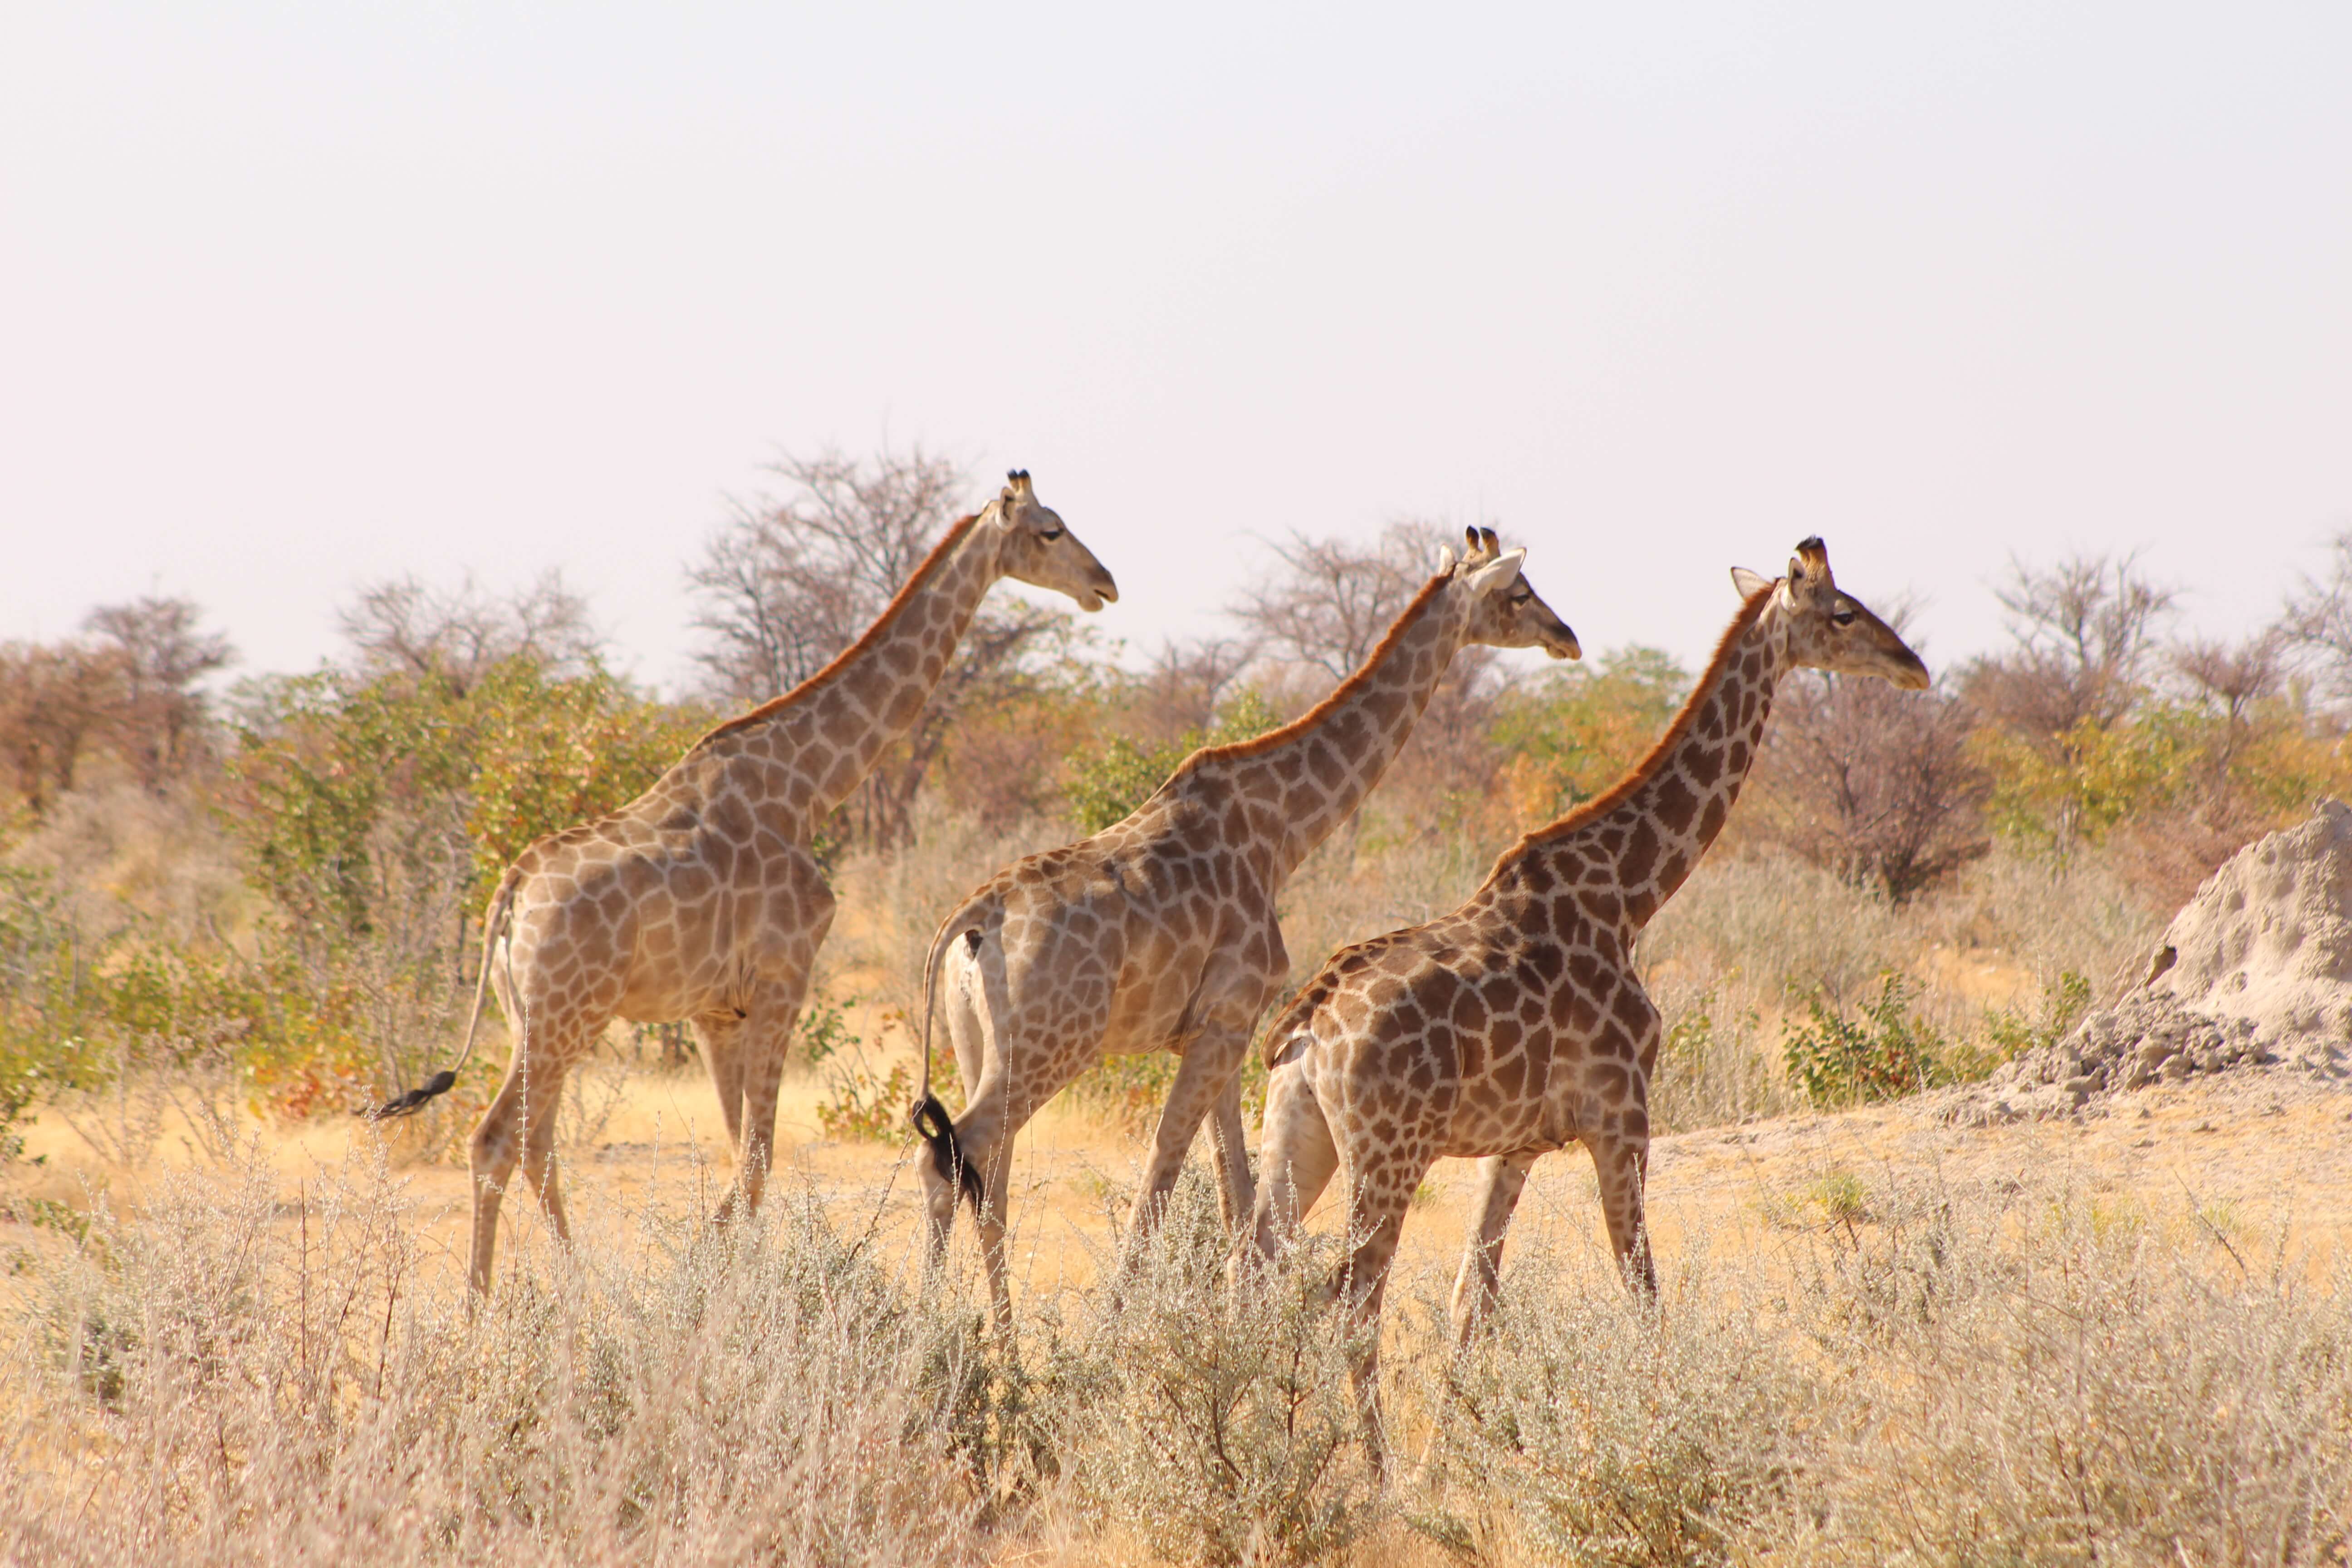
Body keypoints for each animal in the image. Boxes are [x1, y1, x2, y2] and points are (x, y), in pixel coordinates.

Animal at [372, 472, 1117, 1298]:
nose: (1104, 584)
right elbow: (758, 1157)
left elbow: (742, 1155)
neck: (806, 786)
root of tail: (509, 897)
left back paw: (565, 1287)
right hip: (563, 1016)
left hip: (532, 1018)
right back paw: (493, 1305)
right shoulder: (782, 979)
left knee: (532, 1145)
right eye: (1050, 531)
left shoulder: (715, 1011)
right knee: (497, 1140)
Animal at [911, 528, 1581, 1328]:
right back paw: (928, 1338)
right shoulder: (1226, 1022)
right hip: (1049, 1048)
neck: (1282, 834)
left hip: (981, 1048)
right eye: (1519, 592)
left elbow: (1232, 1193)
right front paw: (1118, 1331)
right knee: (953, 1156)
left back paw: (1000, 1344)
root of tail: (971, 921)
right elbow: (1164, 1180)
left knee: (987, 1177)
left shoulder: (1219, 1032)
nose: (1567, 636)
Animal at [1247, 537, 1927, 1408]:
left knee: (1245, 1274)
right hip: (1387, 1152)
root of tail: (1306, 1021)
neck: (1630, 896)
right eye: (1842, 613)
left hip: (1298, 1134)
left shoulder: (1515, 1144)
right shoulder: (1623, 1116)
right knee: (1351, 1304)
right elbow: (1642, 1295)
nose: (1913, 666)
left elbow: (1471, 1301)